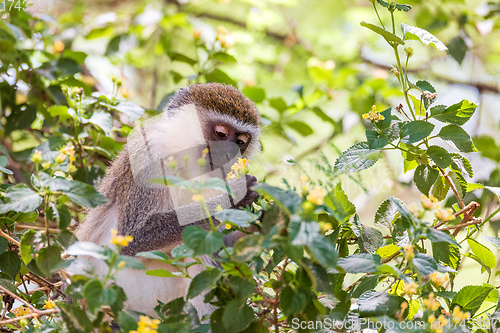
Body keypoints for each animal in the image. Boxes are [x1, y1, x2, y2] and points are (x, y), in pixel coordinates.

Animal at [75, 83, 262, 316]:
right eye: (221, 133)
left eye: (240, 142)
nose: (231, 155)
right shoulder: (150, 156)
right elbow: (132, 239)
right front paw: (235, 197)